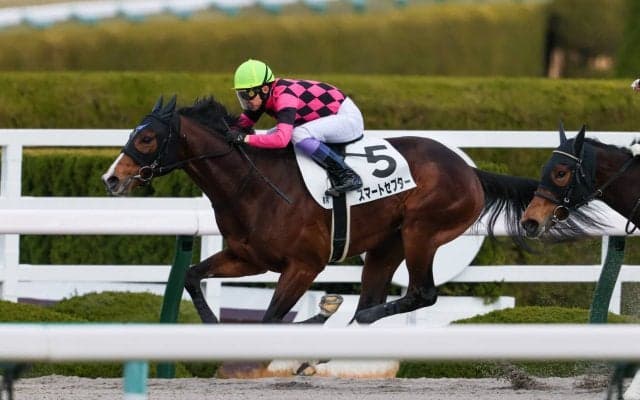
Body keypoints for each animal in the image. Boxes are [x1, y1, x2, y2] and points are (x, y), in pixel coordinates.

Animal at [102, 95, 539, 325]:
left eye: (147, 139)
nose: (111, 178)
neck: (253, 184)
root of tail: (469, 169)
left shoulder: (304, 265)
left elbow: (270, 318)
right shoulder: (247, 257)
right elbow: (193, 276)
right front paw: (210, 324)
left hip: (423, 231)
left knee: (421, 293)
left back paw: (354, 319)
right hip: (386, 246)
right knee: (375, 296)